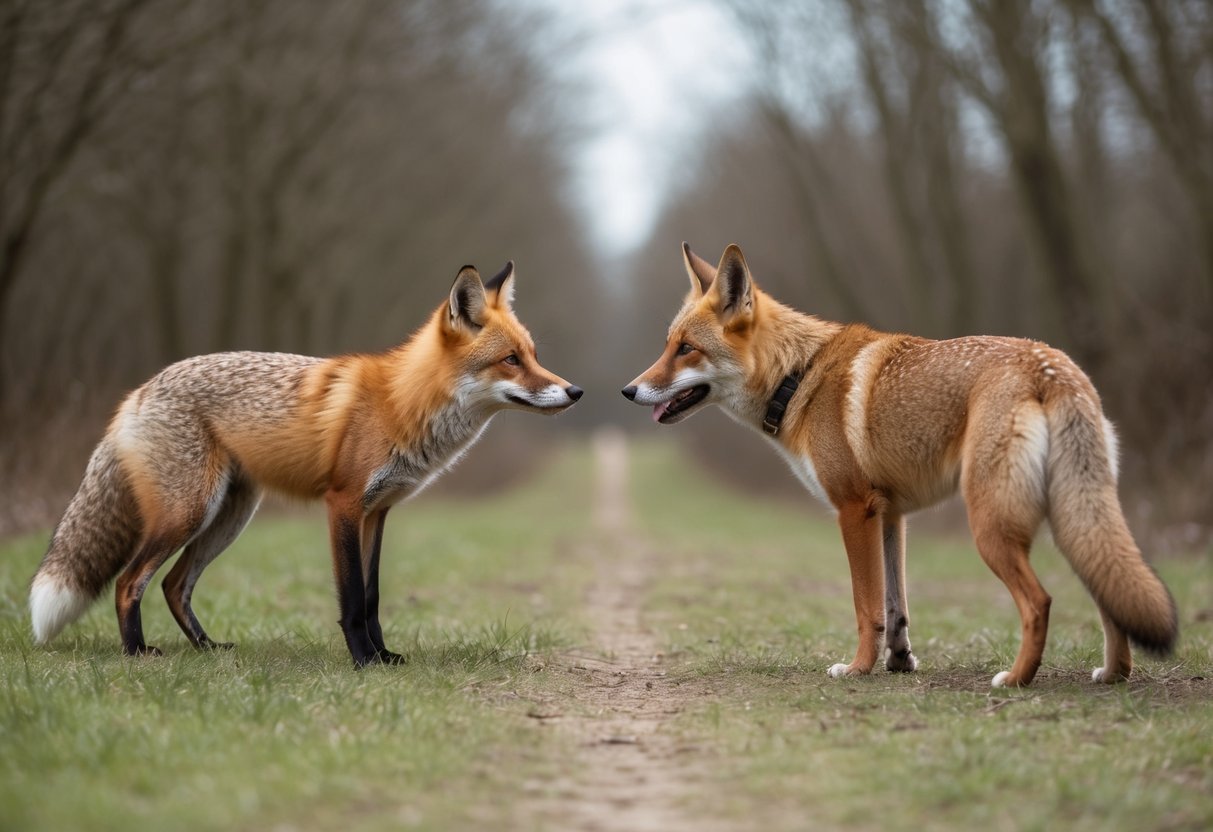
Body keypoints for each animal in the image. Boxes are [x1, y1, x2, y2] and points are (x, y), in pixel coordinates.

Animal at [30, 261, 582, 667]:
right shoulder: (343, 504)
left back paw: (207, 650)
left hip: (228, 519)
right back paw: (137, 653)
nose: (575, 391)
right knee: (130, 582)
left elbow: (373, 598)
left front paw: (384, 655)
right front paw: (364, 662)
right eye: (510, 360)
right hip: (188, 512)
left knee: (173, 584)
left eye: (533, 355)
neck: (402, 403)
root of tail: (139, 391)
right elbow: (353, 599)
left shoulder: (378, 512)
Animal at [622, 242, 1177, 687]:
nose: (629, 390)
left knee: (1040, 602)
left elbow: (865, 605)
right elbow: (896, 608)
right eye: (667, 345)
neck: (797, 378)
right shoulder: (891, 514)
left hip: (991, 526)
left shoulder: (854, 510)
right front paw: (898, 662)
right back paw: (1114, 673)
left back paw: (1017, 679)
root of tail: (1049, 365)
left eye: (686, 349)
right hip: (1072, 520)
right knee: (1108, 595)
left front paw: (858, 669)